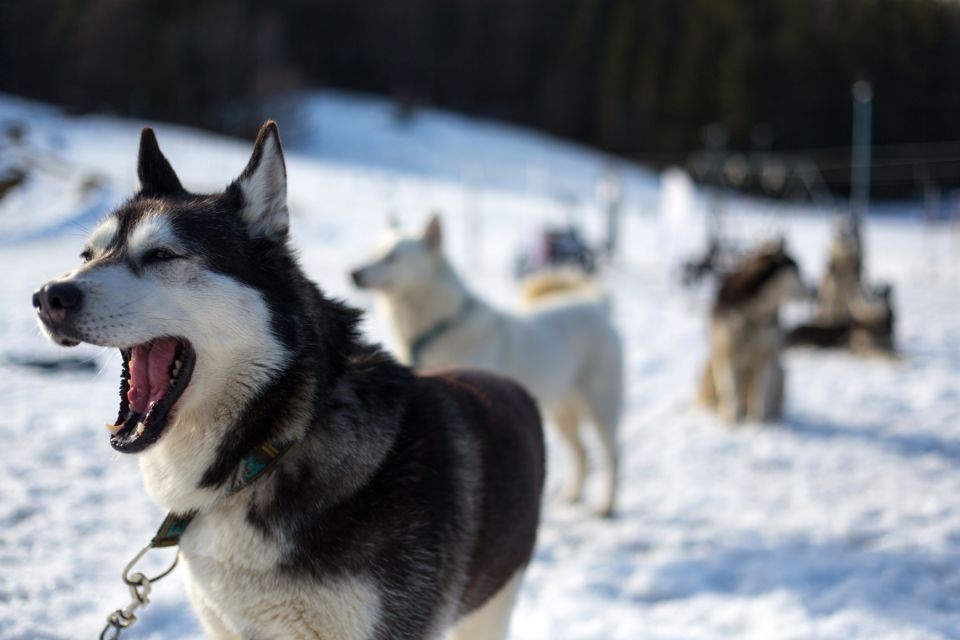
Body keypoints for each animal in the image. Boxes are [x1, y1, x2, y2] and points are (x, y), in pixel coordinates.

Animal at [350, 218, 624, 516]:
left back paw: (607, 504)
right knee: (581, 452)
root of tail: (597, 304)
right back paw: (572, 495)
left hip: (602, 407)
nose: (352, 273)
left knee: (612, 456)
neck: (440, 328)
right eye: (373, 251)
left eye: (393, 257)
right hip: (562, 412)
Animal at [696, 240, 808, 424]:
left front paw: (756, 424)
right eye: (797, 271)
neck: (753, 310)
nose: (814, 290)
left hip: (779, 370)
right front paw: (730, 422)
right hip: (711, 367)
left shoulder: (763, 356)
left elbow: (759, 395)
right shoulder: (727, 354)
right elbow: (730, 392)